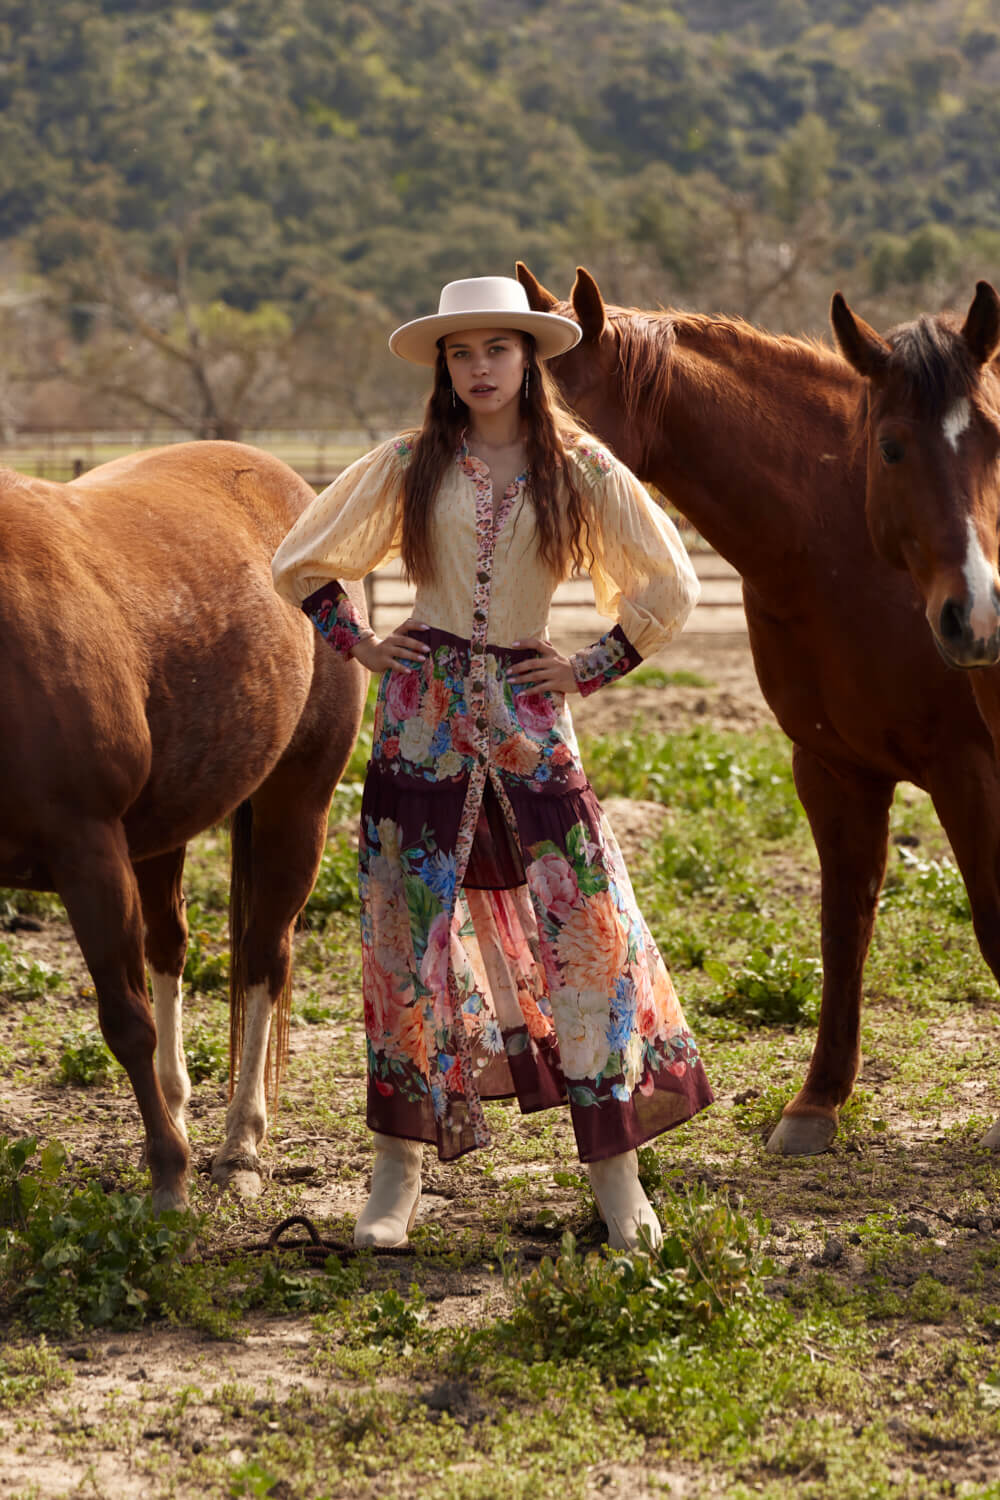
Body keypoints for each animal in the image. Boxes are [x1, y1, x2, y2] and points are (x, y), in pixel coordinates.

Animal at [0, 441, 367, 1206]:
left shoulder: (88, 851)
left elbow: (125, 1022)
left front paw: (170, 1177)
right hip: (159, 833)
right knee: (169, 947)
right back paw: (175, 1106)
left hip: (298, 808)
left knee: (262, 959)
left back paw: (238, 1146)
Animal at [515, 267, 1000, 1158]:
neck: (838, 543)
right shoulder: (832, 769)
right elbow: (843, 928)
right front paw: (816, 1104)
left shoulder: (967, 769)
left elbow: (989, 918)